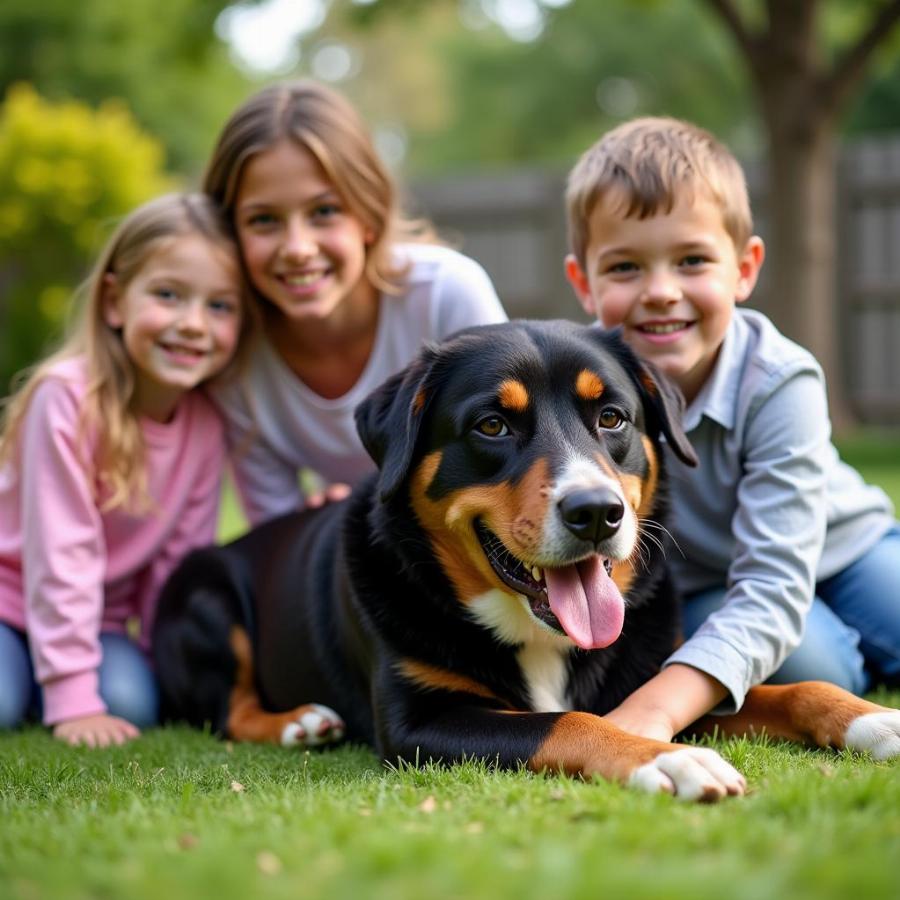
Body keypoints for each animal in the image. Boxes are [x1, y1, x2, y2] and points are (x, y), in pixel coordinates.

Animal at [155, 320, 900, 800]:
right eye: (492, 425)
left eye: (611, 417)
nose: (596, 512)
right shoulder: (420, 723)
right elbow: (569, 721)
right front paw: (673, 761)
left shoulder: (648, 674)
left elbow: (793, 689)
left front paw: (877, 720)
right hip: (206, 595)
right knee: (228, 712)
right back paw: (299, 723)